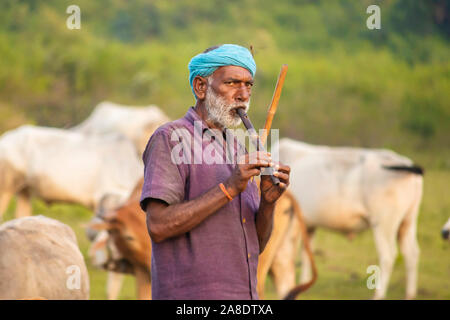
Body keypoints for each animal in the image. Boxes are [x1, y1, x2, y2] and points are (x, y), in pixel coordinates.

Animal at [272, 138, 424, 300]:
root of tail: (403, 162)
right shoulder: (309, 225)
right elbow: (307, 253)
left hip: (384, 225)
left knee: (388, 256)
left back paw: (378, 294)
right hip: (407, 222)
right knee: (411, 253)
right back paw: (410, 294)